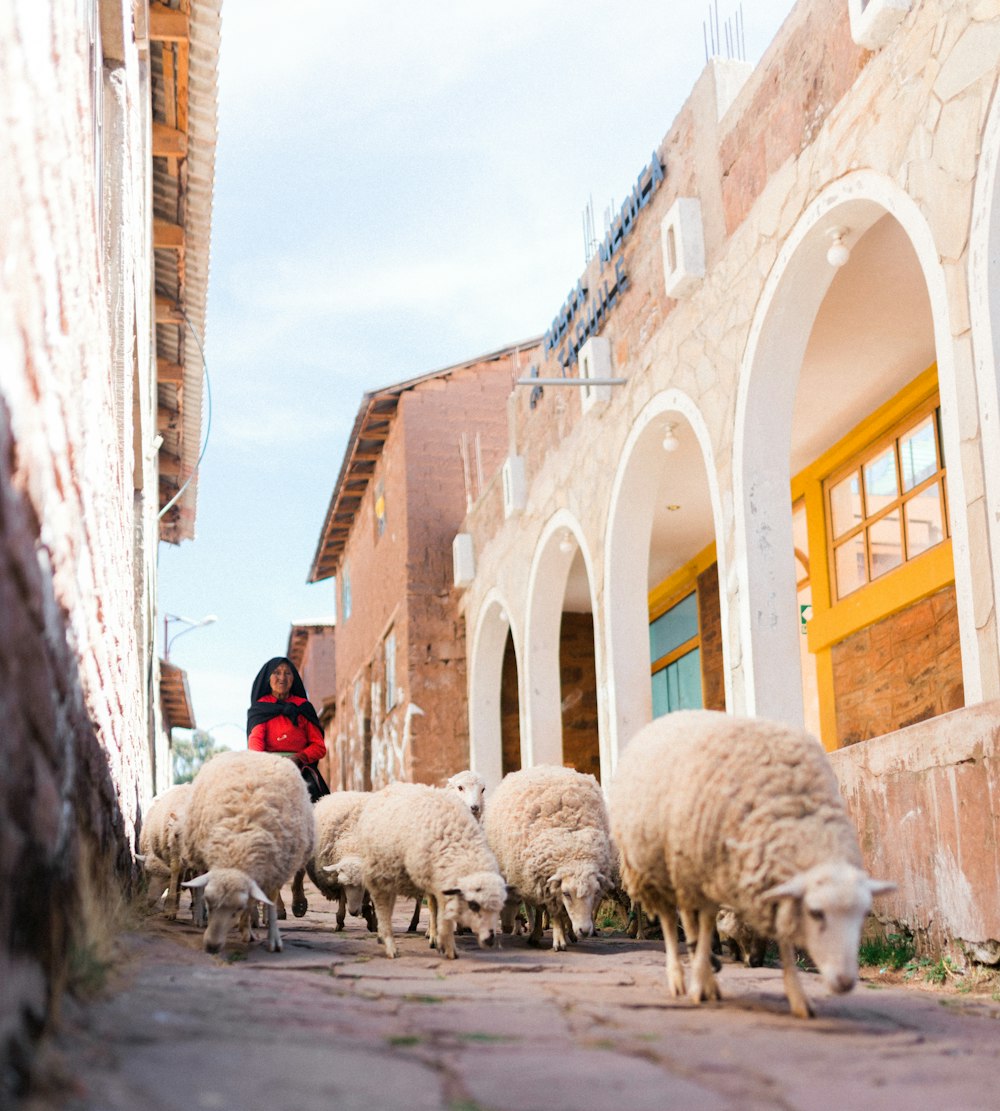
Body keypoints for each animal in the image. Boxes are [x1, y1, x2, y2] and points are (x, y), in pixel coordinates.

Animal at [139, 782, 196, 919]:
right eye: (147, 872)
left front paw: (170, 908)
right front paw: (170, 908)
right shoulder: (173, 852)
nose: (150, 901)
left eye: (166, 877)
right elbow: (177, 873)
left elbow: (178, 876)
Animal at [181, 746, 315, 955]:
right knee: (199, 882)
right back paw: (201, 918)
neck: (238, 847)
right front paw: (246, 929)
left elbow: (269, 902)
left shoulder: (276, 868)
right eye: (210, 903)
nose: (211, 946)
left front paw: (271, 937)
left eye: (237, 908)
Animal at [353, 777, 508, 959]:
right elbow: (434, 907)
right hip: (380, 869)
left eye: (483, 789)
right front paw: (437, 938)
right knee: (383, 904)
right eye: (460, 787)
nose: (475, 807)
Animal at [482, 764, 613, 955]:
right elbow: (556, 914)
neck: (573, 849)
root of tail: (544, 766)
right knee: (538, 910)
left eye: (596, 892)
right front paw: (559, 941)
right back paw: (536, 935)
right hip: (532, 880)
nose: (584, 930)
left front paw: (569, 933)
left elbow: (564, 914)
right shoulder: (546, 884)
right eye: (566, 893)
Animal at [608, 711, 897, 1017]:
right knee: (672, 920)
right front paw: (700, 981)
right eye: (816, 913)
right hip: (660, 868)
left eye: (863, 914)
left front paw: (797, 996)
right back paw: (680, 977)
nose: (844, 982)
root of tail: (669, 717)